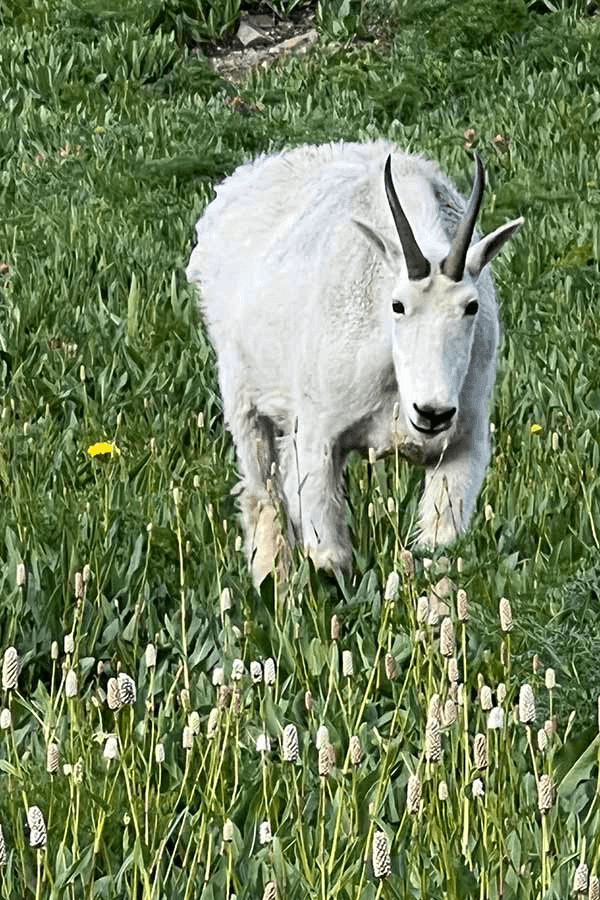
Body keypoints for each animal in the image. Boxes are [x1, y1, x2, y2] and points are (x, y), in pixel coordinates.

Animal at [186, 140, 523, 585]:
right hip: (243, 395)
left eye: (471, 306)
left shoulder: (462, 445)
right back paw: (273, 582)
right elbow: (330, 558)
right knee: (263, 494)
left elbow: (439, 552)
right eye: (398, 305)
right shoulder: (317, 437)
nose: (432, 413)